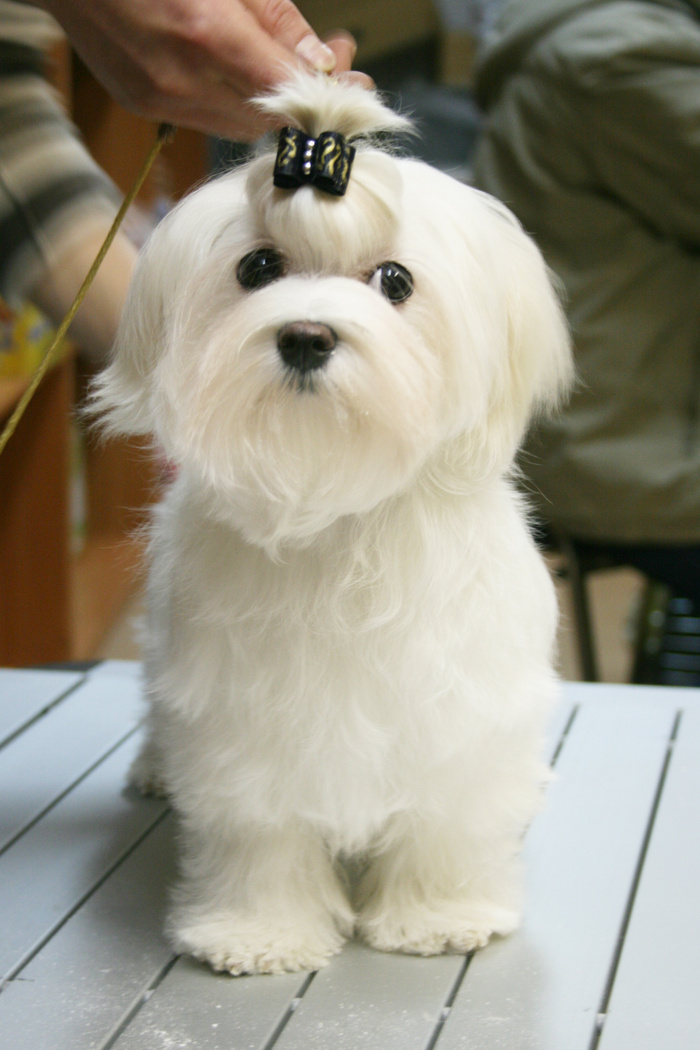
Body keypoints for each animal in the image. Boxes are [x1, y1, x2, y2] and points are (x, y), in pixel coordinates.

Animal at [92, 73, 572, 976]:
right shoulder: (244, 724)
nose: (307, 335)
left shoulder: (457, 707)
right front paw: (260, 930)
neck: (335, 500)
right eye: (258, 268)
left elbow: (445, 815)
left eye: (394, 281)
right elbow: (260, 830)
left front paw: (438, 913)